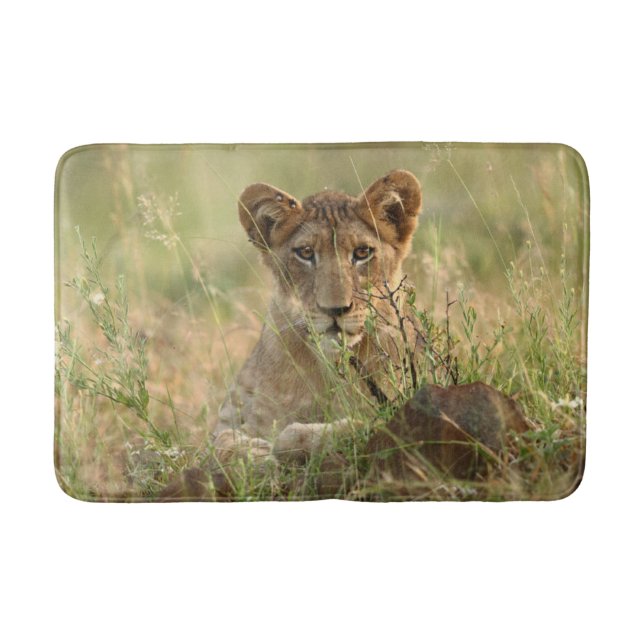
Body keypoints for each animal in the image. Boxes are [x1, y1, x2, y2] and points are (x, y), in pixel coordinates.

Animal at [212, 169, 423, 469]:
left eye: (362, 253)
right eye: (306, 253)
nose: (334, 309)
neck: (329, 368)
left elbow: (356, 425)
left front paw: (285, 444)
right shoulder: (230, 419)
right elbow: (220, 442)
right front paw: (255, 453)